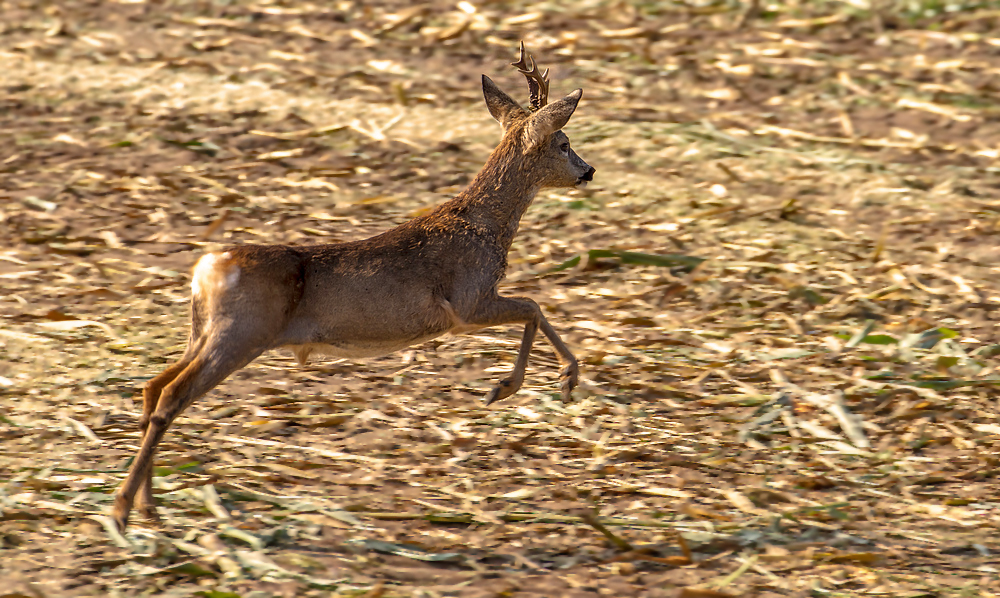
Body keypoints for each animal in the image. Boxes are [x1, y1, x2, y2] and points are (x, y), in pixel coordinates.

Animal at [111, 44, 592, 532]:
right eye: (564, 143)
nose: (588, 171)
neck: (484, 225)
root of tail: (208, 267)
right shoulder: (467, 302)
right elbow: (533, 306)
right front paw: (533, 383)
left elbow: (533, 307)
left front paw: (546, 382)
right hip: (240, 334)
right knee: (172, 395)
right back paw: (122, 508)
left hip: (204, 332)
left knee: (153, 387)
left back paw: (148, 506)